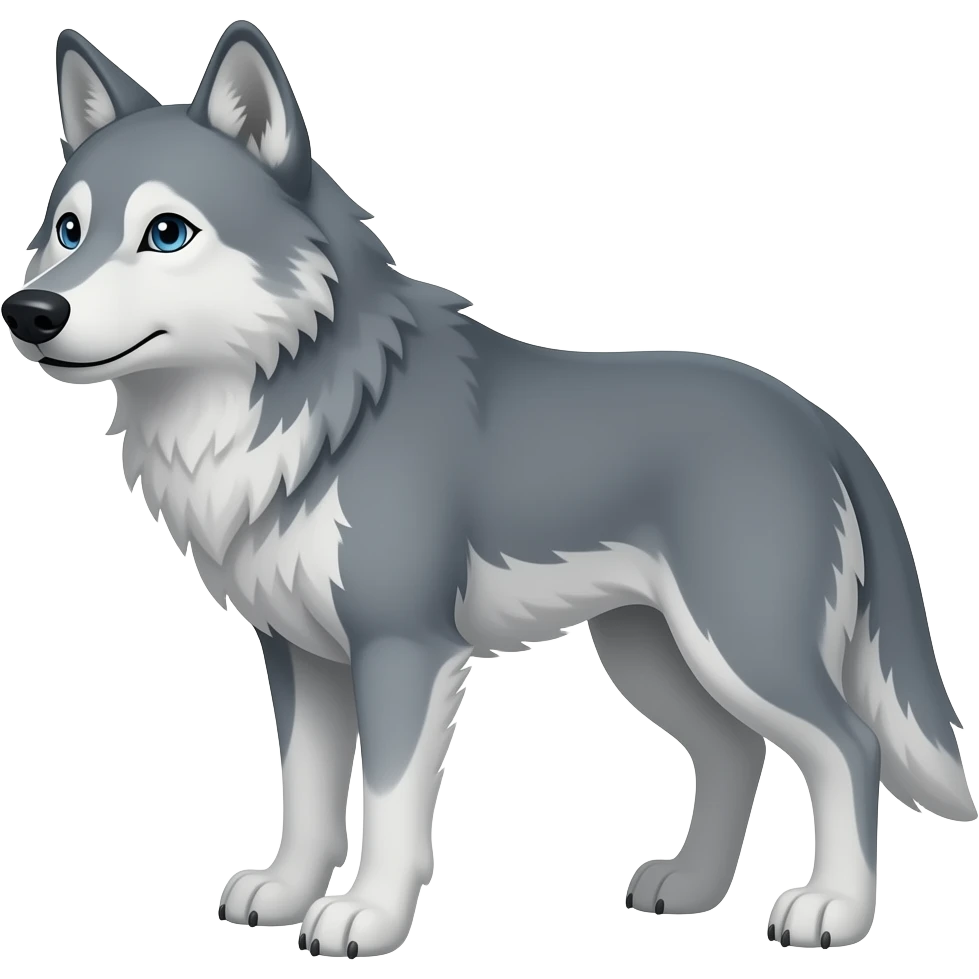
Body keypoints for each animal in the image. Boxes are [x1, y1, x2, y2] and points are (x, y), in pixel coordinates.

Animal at [3, 19, 974, 959]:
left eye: (167, 232)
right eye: (67, 230)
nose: (30, 313)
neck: (315, 407)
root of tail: (819, 421)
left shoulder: (404, 646)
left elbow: (390, 803)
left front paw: (367, 917)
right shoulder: (299, 653)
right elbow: (306, 795)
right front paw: (284, 893)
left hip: (739, 646)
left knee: (847, 745)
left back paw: (832, 910)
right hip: (651, 654)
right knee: (736, 752)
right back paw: (691, 888)